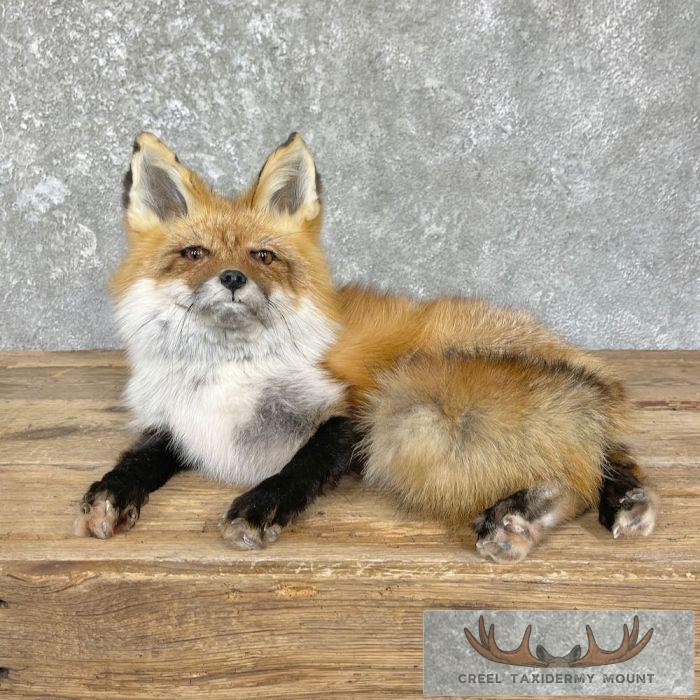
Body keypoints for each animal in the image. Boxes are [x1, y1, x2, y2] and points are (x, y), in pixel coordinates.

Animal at [75, 131, 658, 562]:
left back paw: (543, 513)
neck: (226, 372)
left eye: (263, 256)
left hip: (416, 411)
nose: (234, 278)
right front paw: (112, 490)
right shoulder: (179, 420)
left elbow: (301, 465)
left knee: (588, 461)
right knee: (596, 455)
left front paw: (263, 504)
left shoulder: (354, 410)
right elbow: (141, 456)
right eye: (194, 253)